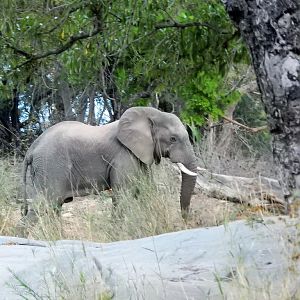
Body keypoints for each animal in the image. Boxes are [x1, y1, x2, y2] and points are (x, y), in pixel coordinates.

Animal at [21, 107, 199, 223]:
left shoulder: (139, 157)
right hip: (50, 166)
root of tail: (32, 149)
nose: (186, 220)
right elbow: (123, 195)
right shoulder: (124, 155)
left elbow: (145, 191)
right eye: (173, 139)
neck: (149, 114)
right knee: (44, 204)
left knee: (54, 208)